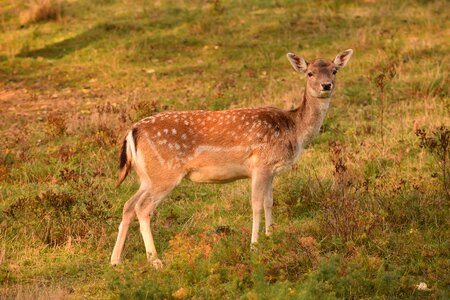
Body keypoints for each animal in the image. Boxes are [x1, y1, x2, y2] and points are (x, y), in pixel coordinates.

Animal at [110, 49, 354, 268]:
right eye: (310, 73)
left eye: (334, 71)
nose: (326, 85)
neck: (294, 129)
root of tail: (132, 131)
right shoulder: (260, 164)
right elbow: (256, 204)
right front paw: (254, 246)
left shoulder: (271, 170)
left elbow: (269, 202)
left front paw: (271, 236)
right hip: (165, 173)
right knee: (142, 207)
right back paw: (155, 260)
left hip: (147, 176)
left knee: (128, 205)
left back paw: (115, 260)